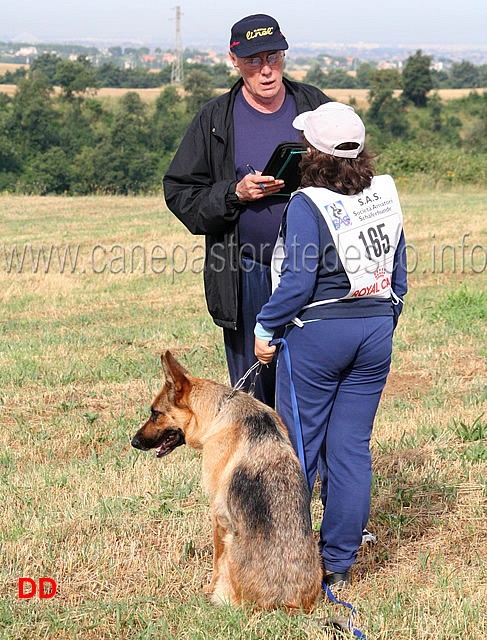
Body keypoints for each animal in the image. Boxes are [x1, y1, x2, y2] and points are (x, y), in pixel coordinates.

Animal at [133, 352, 324, 612]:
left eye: (155, 414)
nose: (133, 442)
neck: (218, 412)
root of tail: (286, 603)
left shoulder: (217, 512)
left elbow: (215, 556)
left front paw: (208, 587)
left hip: (231, 549)